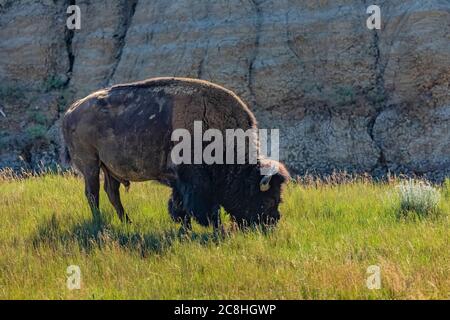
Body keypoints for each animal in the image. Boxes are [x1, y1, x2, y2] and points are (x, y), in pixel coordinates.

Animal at [61, 79, 290, 231]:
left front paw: (185, 229)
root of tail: (71, 111)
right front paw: (217, 230)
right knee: (93, 194)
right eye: (268, 198)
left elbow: (180, 207)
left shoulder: (181, 183)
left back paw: (128, 222)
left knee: (112, 193)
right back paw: (100, 223)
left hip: (110, 169)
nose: (272, 222)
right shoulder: (194, 182)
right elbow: (202, 208)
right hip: (90, 164)